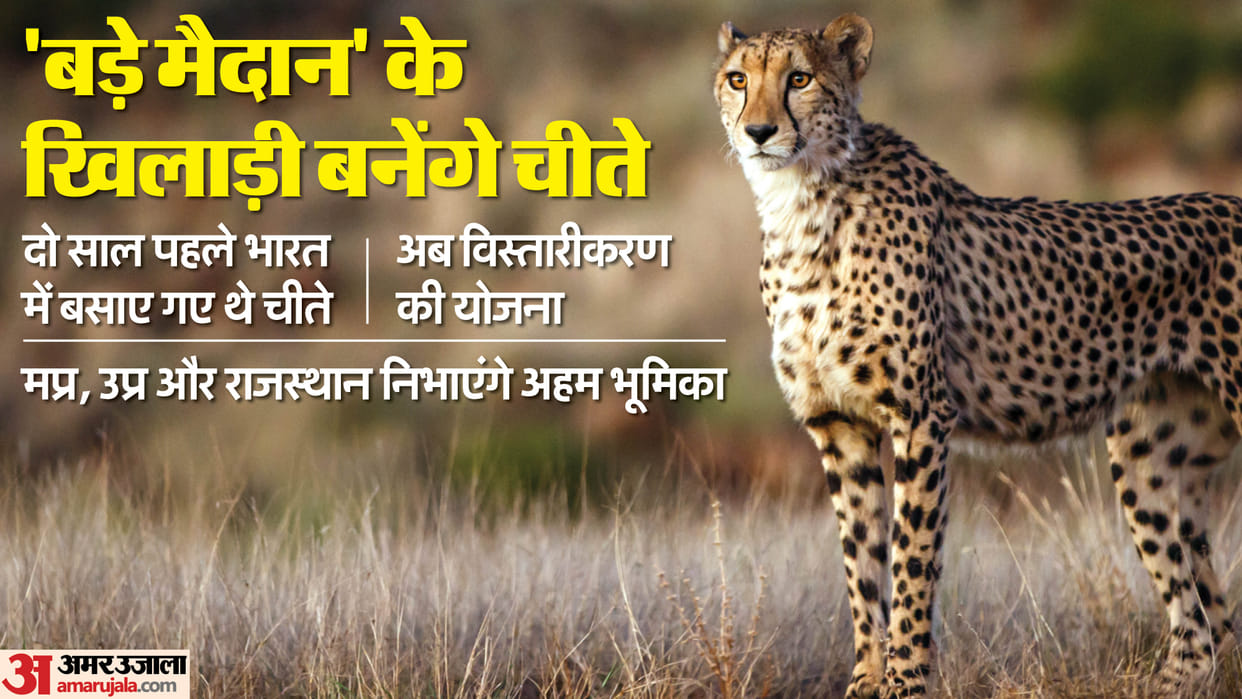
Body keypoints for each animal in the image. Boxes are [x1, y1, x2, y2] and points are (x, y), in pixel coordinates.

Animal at [715, 13, 1241, 698]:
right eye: (738, 79)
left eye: (799, 78)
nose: (758, 130)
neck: (800, 202)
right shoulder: (839, 425)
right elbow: (861, 566)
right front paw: (865, 681)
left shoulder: (921, 417)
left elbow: (911, 559)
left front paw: (905, 682)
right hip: (1149, 452)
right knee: (1204, 624)